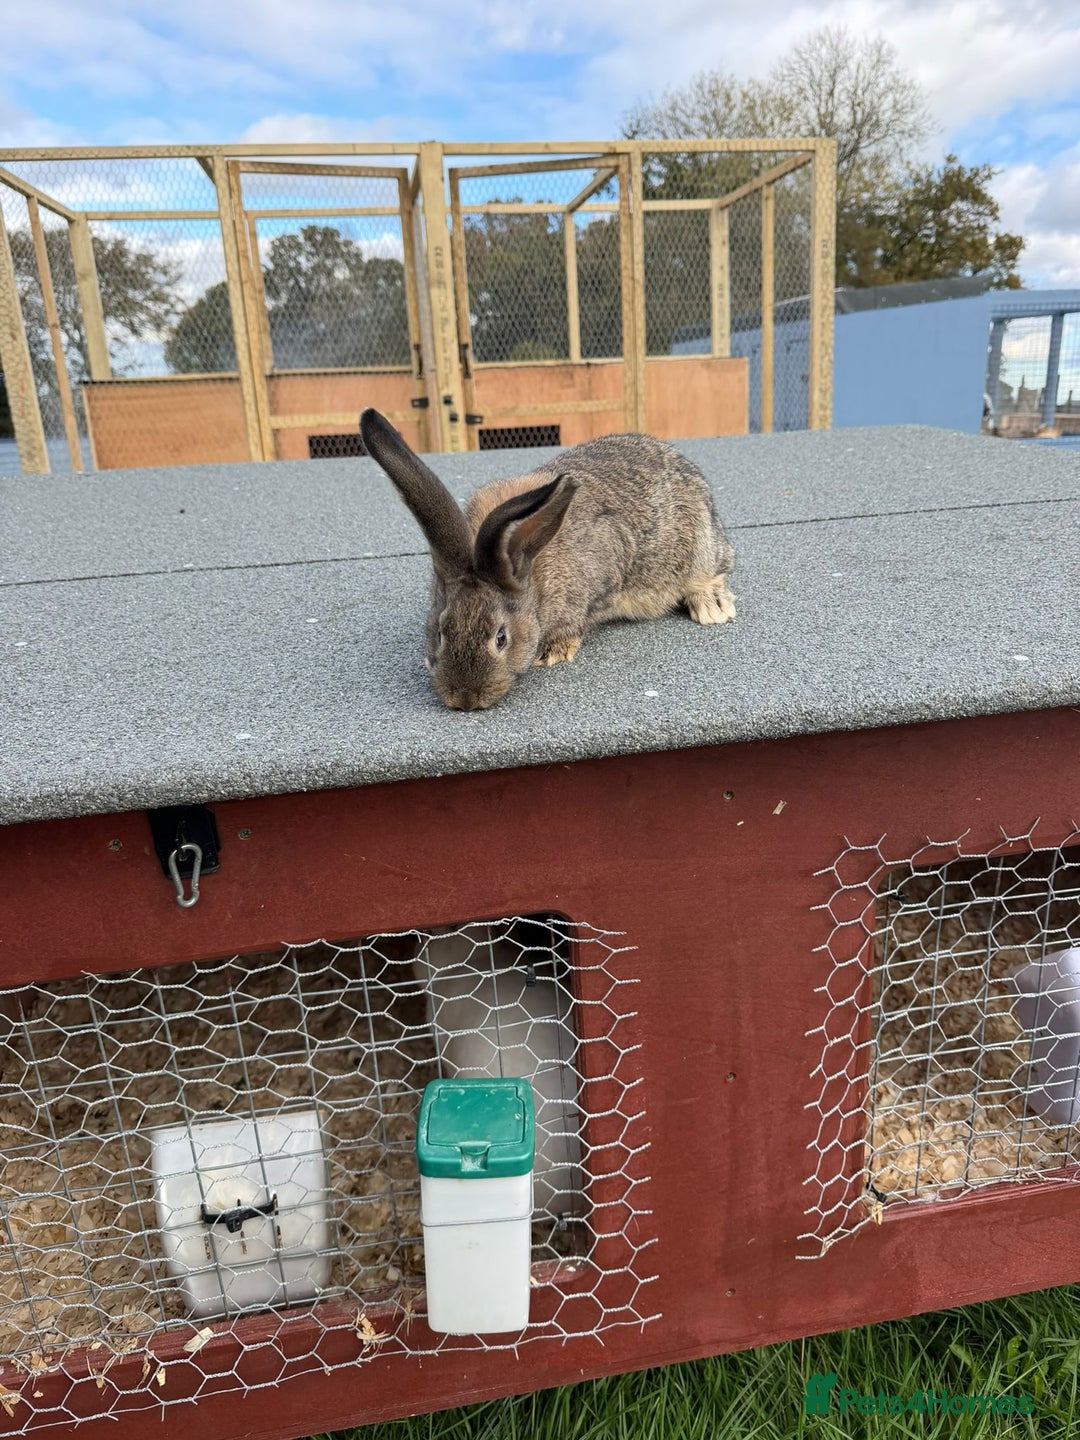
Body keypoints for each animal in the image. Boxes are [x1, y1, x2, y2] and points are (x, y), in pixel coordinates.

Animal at [358, 408, 736, 711]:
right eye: (439, 631)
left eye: (501, 638)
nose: (465, 700)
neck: (531, 576)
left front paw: (552, 652)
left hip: (702, 550)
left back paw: (713, 608)